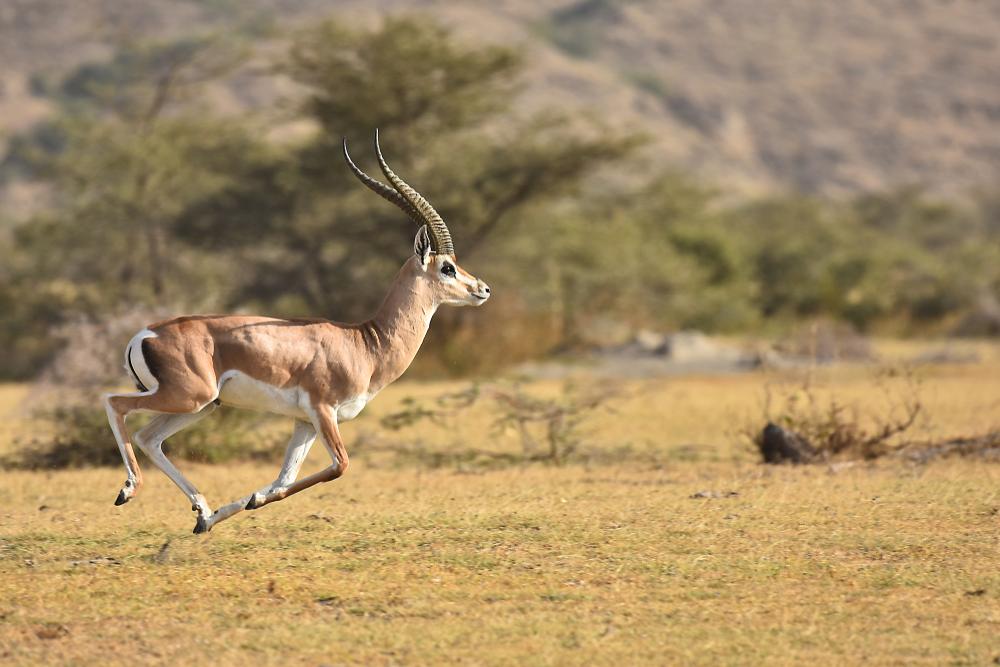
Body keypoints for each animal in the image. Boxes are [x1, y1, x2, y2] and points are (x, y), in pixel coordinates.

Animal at [104, 131, 490, 533]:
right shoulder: (323, 411)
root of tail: (145, 334)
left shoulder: (304, 421)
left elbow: (284, 478)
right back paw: (128, 490)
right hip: (190, 397)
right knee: (115, 403)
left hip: (202, 405)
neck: (366, 344)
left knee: (149, 437)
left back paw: (202, 513)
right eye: (447, 267)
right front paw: (248, 502)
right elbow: (340, 466)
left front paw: (240, 506)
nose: (483, 289)